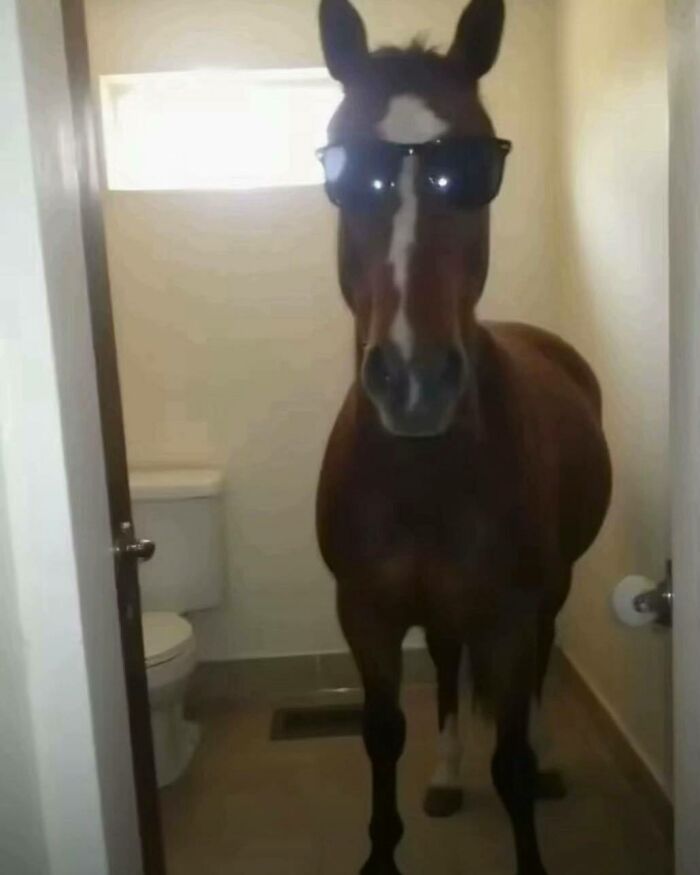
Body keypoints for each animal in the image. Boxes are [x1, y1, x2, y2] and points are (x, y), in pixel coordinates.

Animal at [314, 2, 612, 873]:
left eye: (471, 168)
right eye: (345, 167)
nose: (414, 378)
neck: (425, 474)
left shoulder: (509, 614)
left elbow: (509, 756)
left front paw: (530, 798)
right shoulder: (367, 612)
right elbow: (384, 734)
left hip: (551, 591)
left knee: (543, 663)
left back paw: (549, 760)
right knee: (447, 669)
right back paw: (447, 774)